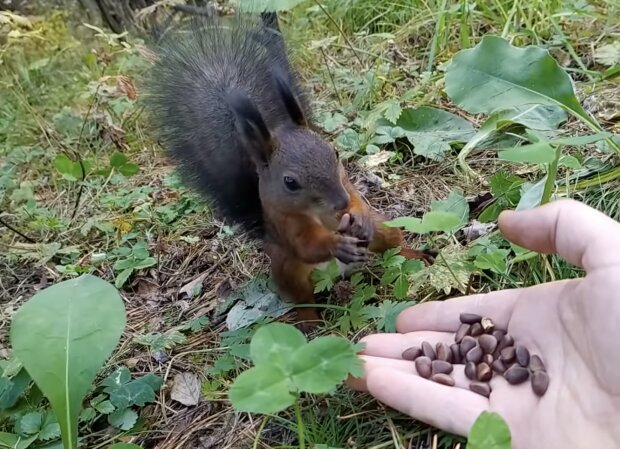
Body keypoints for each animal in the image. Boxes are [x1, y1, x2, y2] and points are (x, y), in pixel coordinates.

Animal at [145, 13, 436, 328]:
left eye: (334, 153)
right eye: (290, 182)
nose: (340, 204)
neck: (319, 211)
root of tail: (340, 275)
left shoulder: (347, 186)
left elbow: (359, 201)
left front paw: (358, 217)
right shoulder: (287, 224)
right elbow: (307, 246)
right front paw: (335, 243)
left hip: (385, 229)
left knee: (393, 246)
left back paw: (417, 255)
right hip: (289, 272)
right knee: (304, 299)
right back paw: (311, 323)